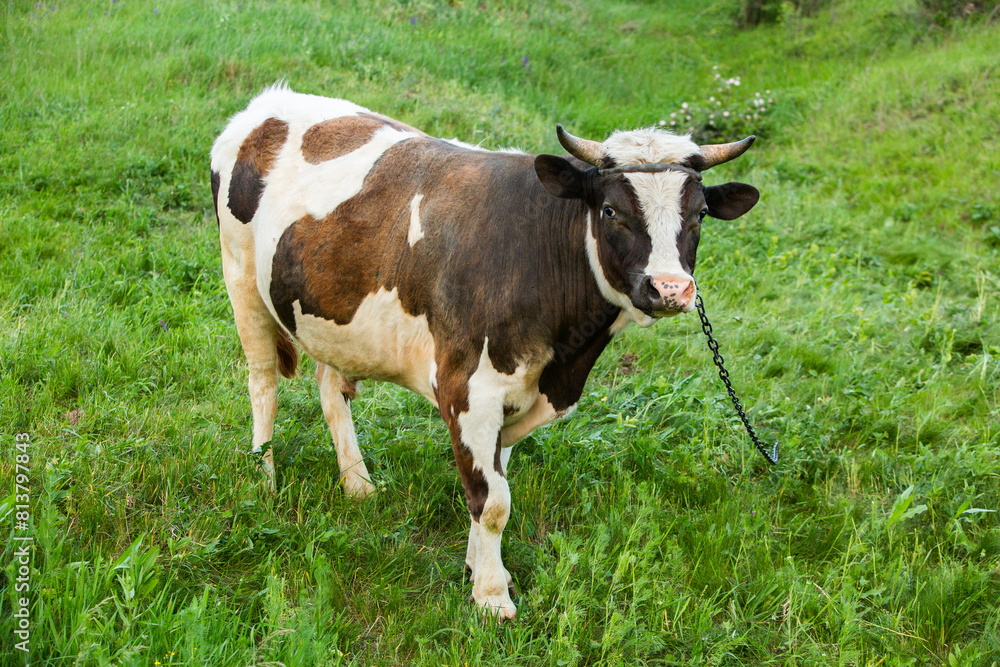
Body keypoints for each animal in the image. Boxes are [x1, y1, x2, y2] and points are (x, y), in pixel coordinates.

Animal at [209, 83, 756, 620]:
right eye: (610, 210)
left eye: (700, 213)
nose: (670, 289)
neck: (565, 359)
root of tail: (266, 104)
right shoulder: (467, 389)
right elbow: (492, 500)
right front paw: (492, 597)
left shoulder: (519, 391)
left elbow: (497, 477)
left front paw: (478, 568)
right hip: (241, 279)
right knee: (263, 381)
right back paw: (264, 477)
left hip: (329, 314)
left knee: (330, 389)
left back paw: (357, 484)